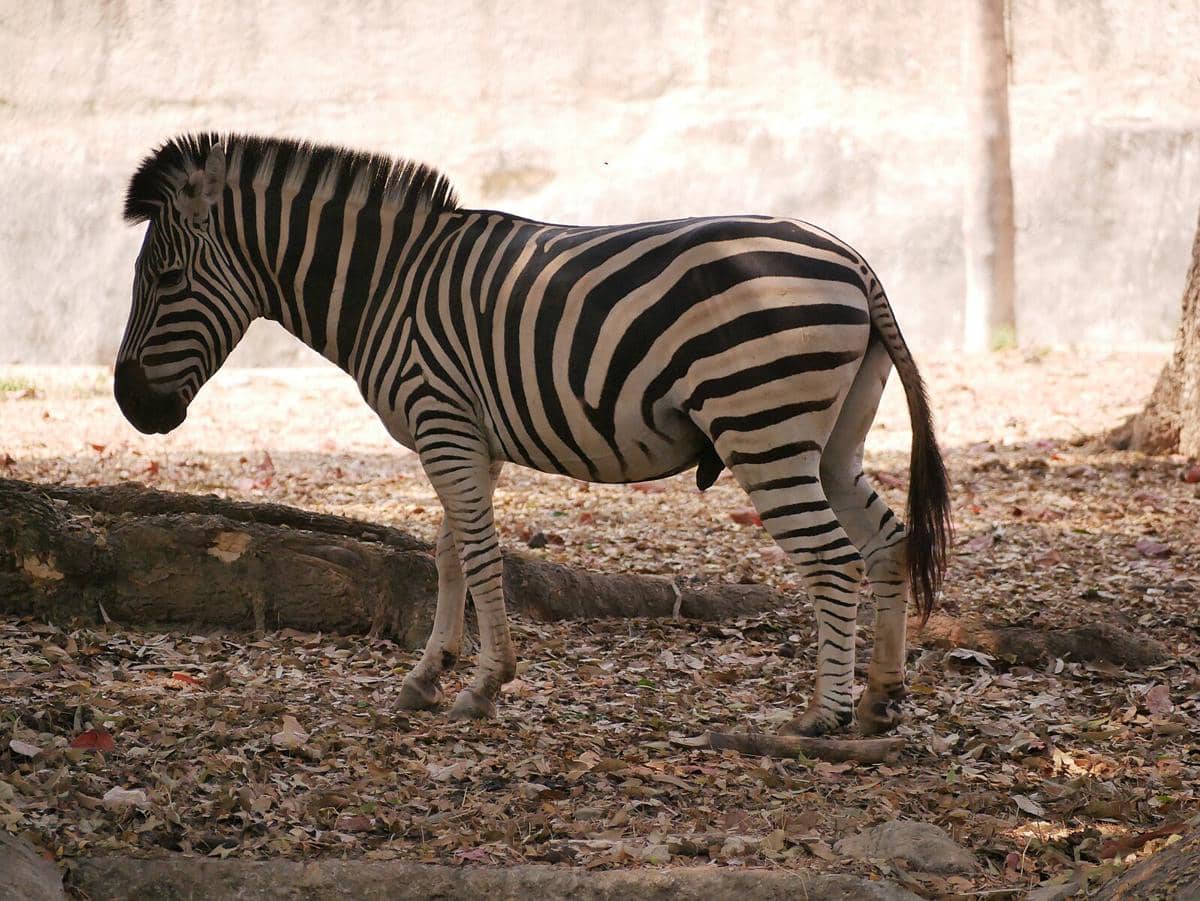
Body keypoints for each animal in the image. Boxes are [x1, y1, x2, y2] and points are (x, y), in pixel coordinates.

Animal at [116, 134, 950, 736]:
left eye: (166, 282)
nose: (129, 404)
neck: (386, 288)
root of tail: (855, 259)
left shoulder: (443, 420)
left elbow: (481, 555)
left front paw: (485, 685)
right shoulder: (460, 434)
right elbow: (449, 550)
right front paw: (428, 675)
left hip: (761, 427)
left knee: (832, 557)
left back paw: (822, 716)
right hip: (832, 438)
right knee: (887, 540)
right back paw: (880, 698)